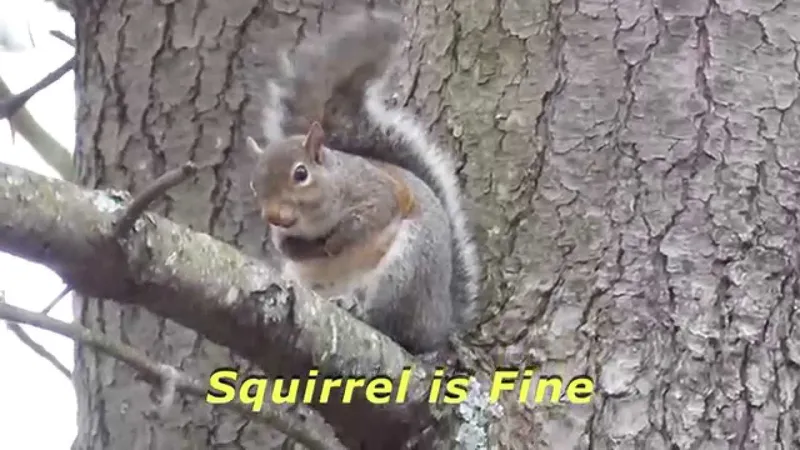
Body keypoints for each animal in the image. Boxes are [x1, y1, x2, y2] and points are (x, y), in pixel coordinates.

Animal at [246, 9, 481, 354]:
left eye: (301, 174)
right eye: (255, 184)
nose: (273, 216)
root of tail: (439, 321)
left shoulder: (377, 190)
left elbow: (372, 216)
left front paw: (336, 241)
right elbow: (285, 246)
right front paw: (296, 246)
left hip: (406, 270)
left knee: (387, 321)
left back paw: (358, 308)